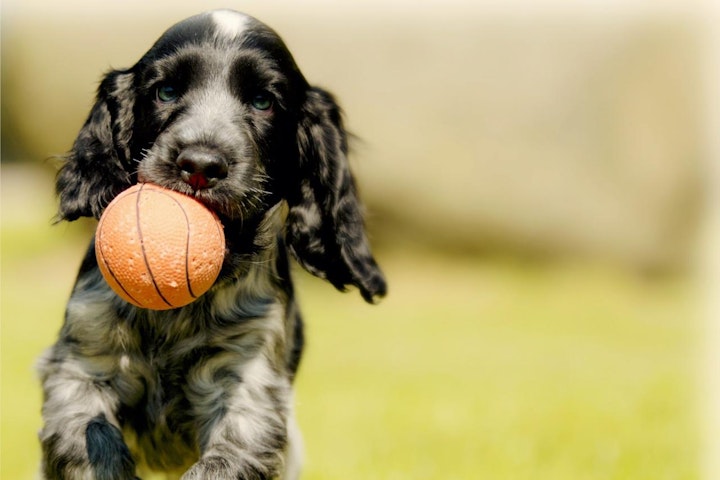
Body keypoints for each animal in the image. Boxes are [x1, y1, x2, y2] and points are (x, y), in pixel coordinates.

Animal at [38, 9, 388, 478]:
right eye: (166, 92)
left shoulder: (247, 386)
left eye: (263, 101)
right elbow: (88, 434)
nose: (201, 165)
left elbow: (225, 457)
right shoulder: (82, 362)